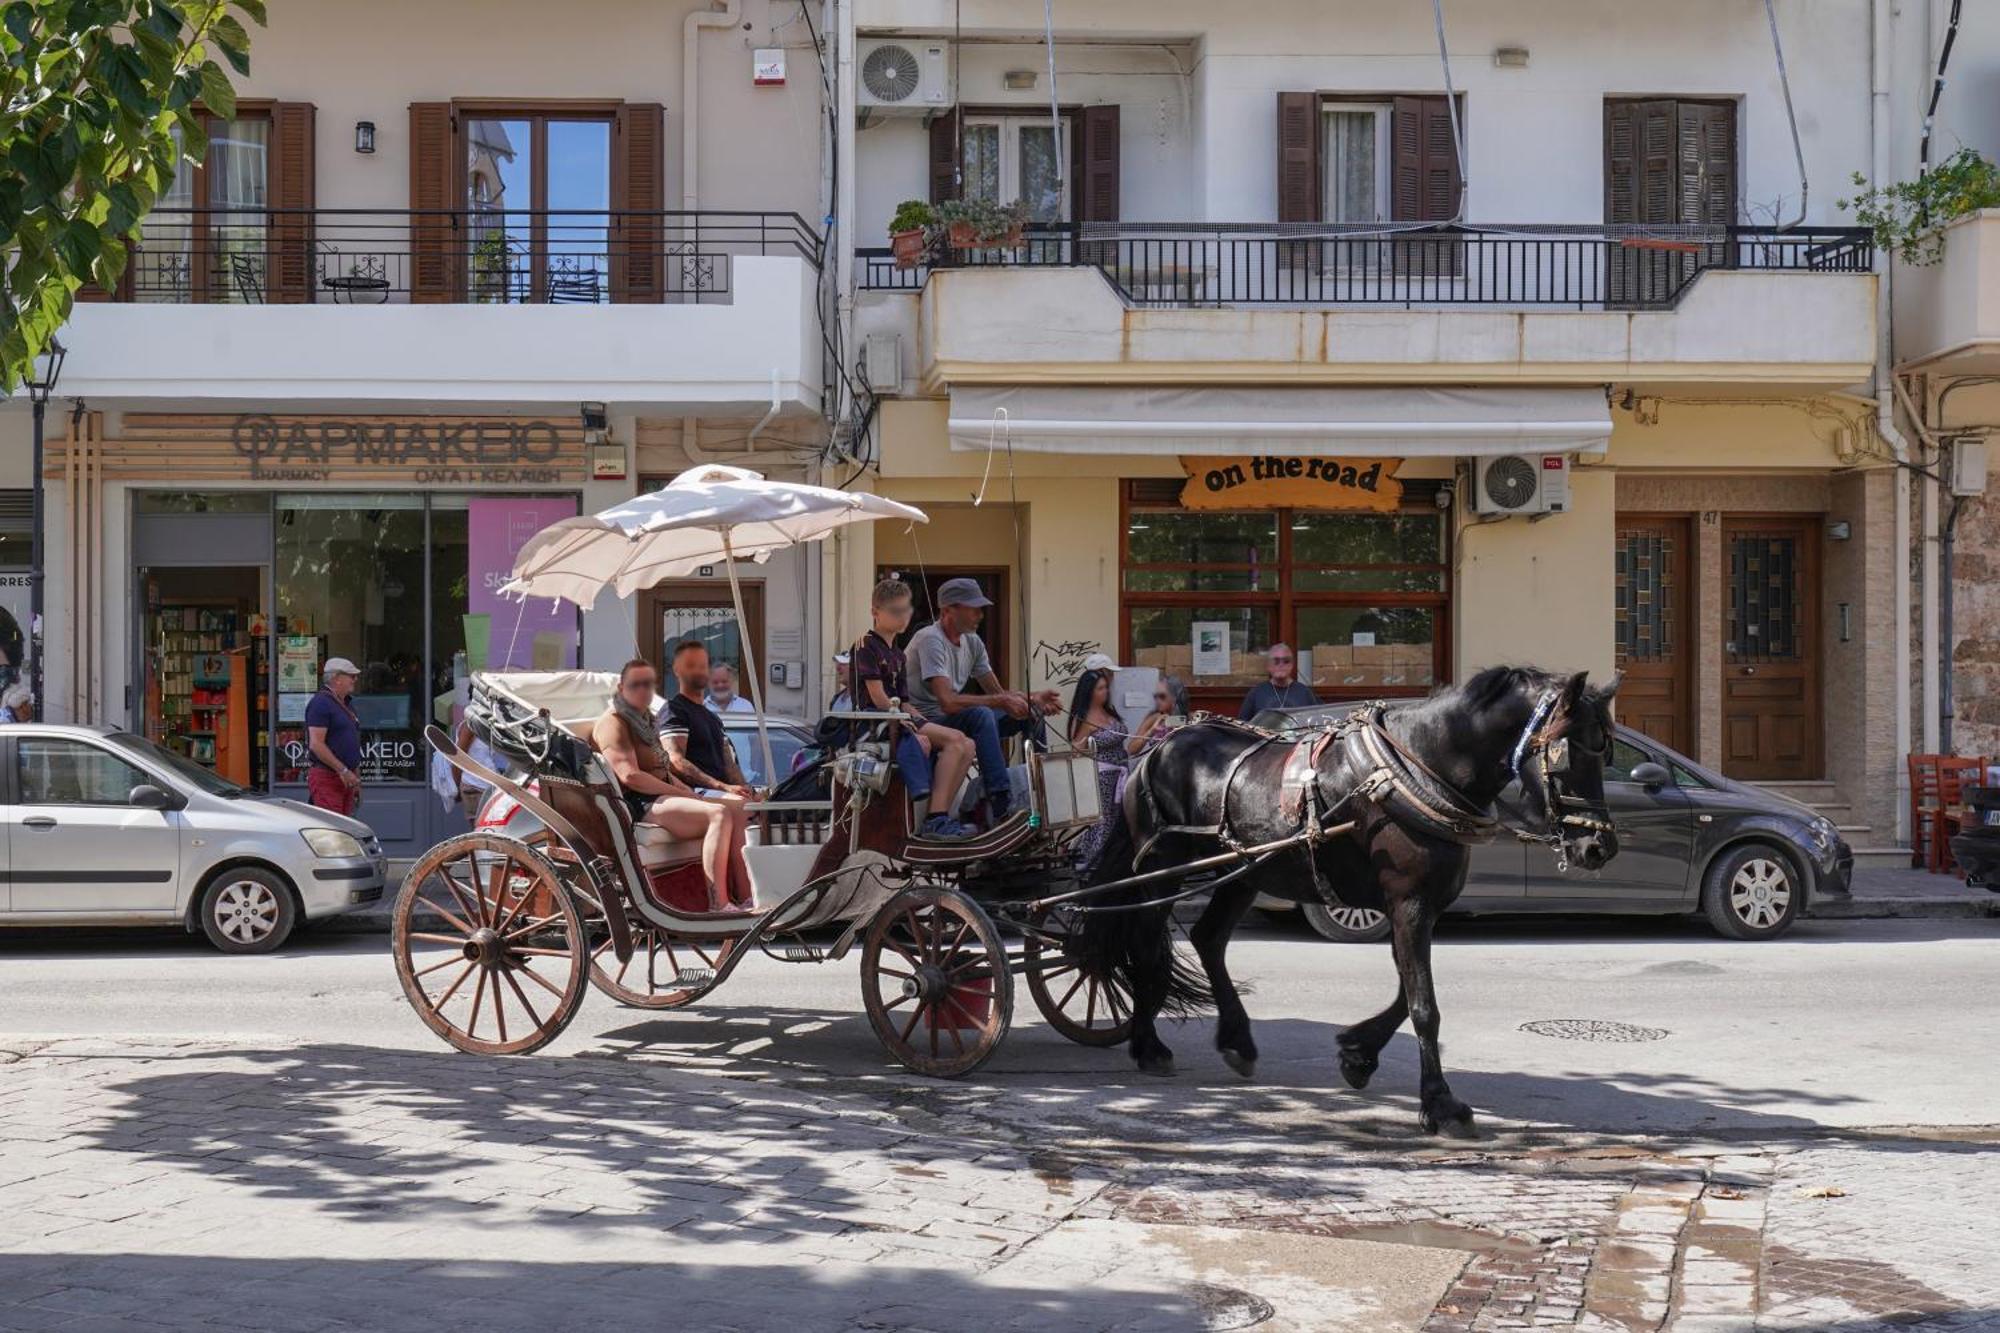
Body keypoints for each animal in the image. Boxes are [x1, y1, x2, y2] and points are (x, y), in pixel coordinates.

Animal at [1072, 664, 1616, 1128]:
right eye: (1567, 751)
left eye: (1606, 750)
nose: (1599, 847)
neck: (1419, 769)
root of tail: (1157, 749)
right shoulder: (1410, 904)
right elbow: (1424, 1004)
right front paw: (1440, 1103)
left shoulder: (1415, 907)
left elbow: (1406, 993)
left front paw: (1358, 1053)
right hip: (1161, 869)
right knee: (1148, 944)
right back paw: (1149, 1045)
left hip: (1243, 872)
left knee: (1208, 939)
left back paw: (1237, 1040)